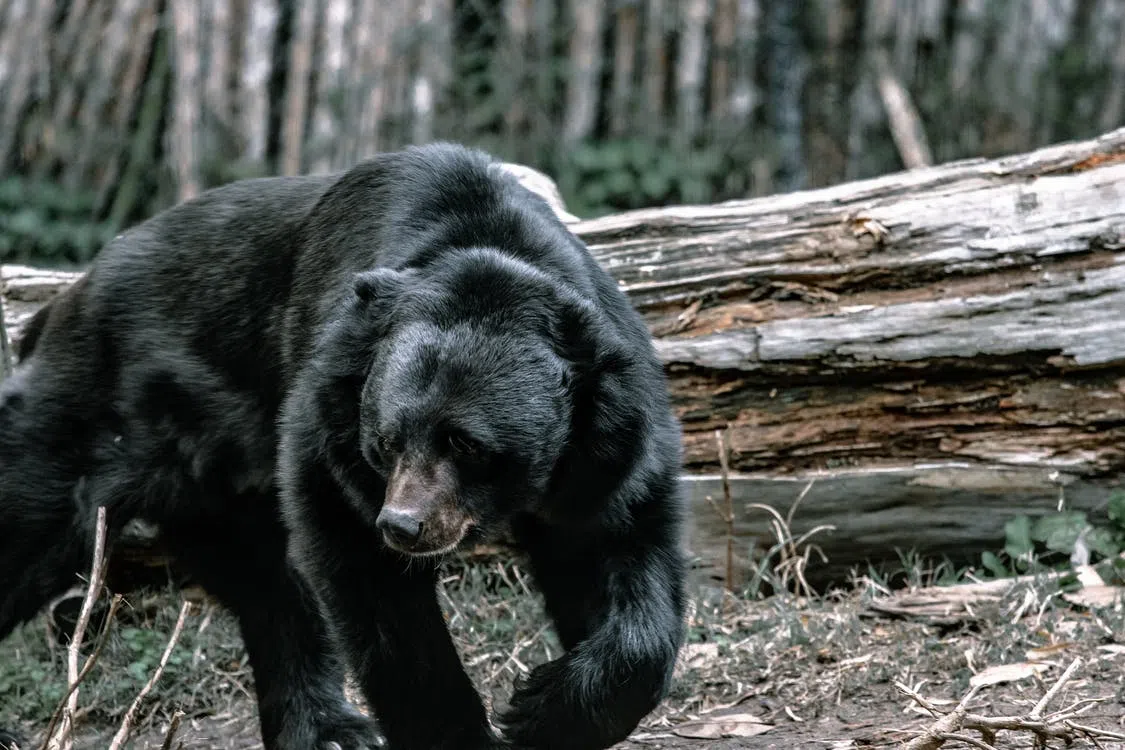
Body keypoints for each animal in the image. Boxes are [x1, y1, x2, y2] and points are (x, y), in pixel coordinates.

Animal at [0, 143, 684, 750]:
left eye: (466, 444)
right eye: (386, 440)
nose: (404, 525)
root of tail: (64, 300)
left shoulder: (607, 446)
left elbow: (619, 552)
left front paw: (544, 708)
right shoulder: (330, 424)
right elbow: (374, 591)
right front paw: (467, 733)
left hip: (214, 481)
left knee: (267, 584)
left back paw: (327, 730)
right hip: (94, 413)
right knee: (32, 519)